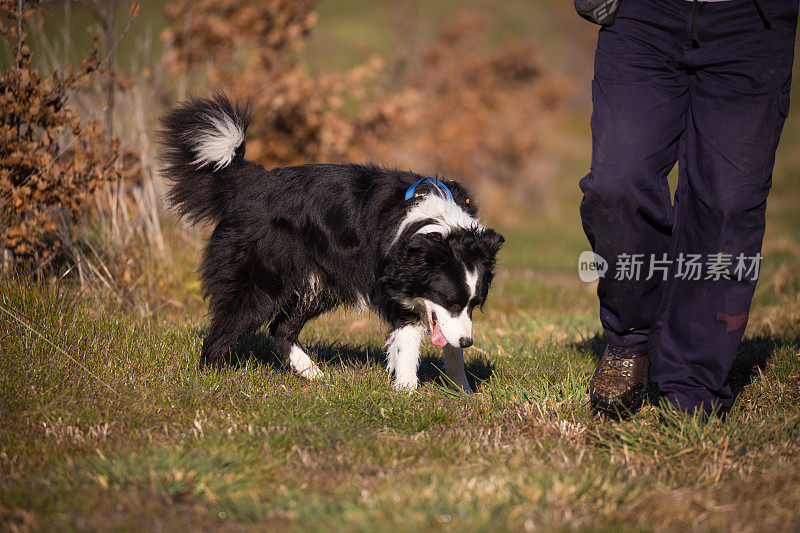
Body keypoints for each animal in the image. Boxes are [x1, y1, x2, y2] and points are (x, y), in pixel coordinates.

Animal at [159, 94, 504, 390]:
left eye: (475, 303)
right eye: (450, 300)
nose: (469, 342)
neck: (435, 227)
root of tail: (249, 182)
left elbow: (447, 340)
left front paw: (462, 390)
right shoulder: (393, 277)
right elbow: (408, 336)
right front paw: (407, 392)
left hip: (319, 281)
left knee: (281, 327)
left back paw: (313, 374)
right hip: (262, 267)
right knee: (233, 319)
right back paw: (211, 374)